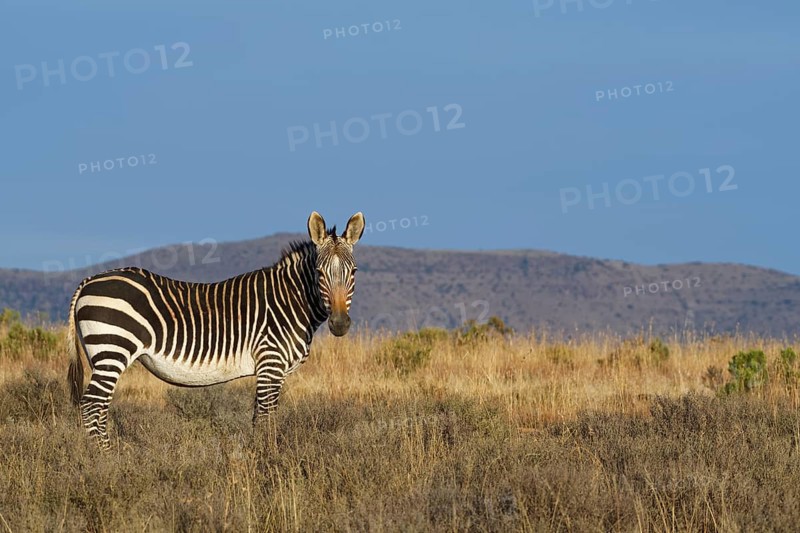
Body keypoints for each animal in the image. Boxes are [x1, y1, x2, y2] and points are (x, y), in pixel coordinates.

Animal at [67, 211, 364, 448]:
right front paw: (269, 459)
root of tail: (88, 280)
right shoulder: (271, 363)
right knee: (92, 405)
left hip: (102, 355)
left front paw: (257, 456)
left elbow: (259, 417)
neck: (290, 300)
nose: (339, 324)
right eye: (319, 272)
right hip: (112, 349)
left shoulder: (269, 369)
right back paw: (106, 459)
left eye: (353, 272)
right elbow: (266, 418)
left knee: (97, 407)